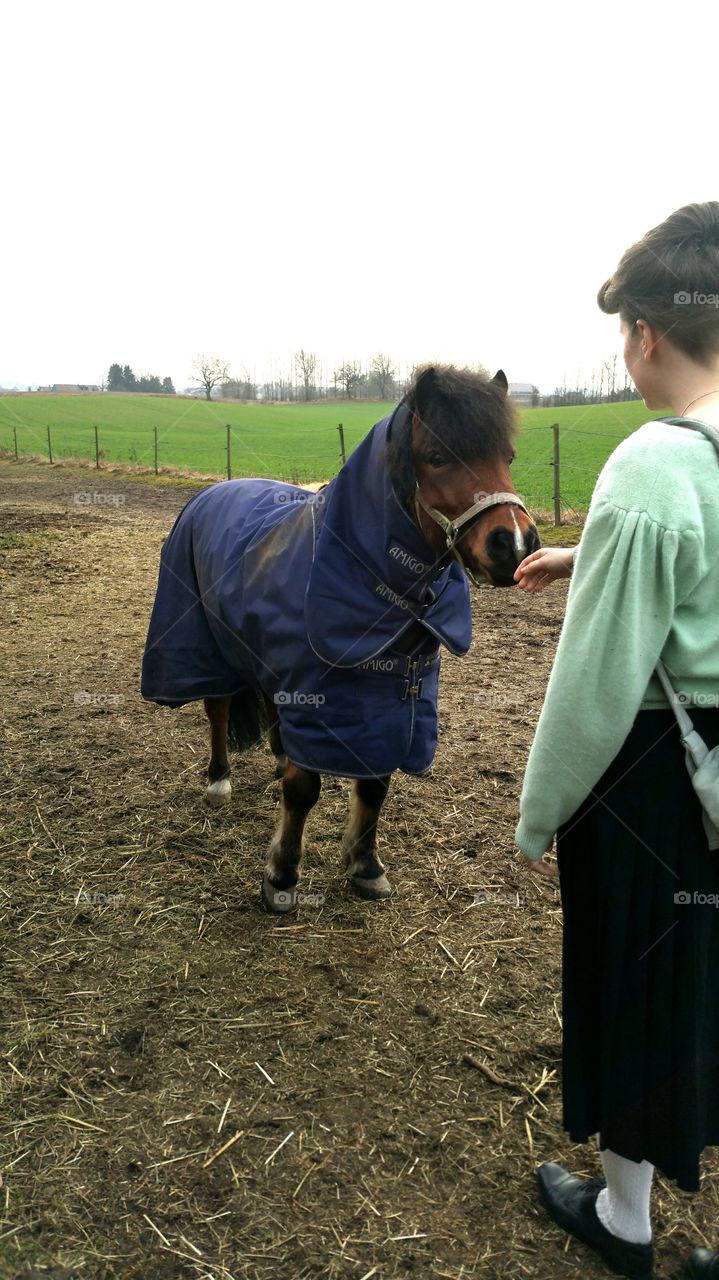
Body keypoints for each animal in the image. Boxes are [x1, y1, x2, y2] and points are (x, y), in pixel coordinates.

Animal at [141, 364, 539, 912]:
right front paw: (282, 875)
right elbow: (304, 790)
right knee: (217, 706)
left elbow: (374, 786)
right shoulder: (317, 691)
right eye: (437, 458)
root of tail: (213, 492)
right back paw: (219, 779)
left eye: (509, 457)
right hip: (208, 643)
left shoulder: (392, 704)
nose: (515, 543)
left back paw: (278, 754)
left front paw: (365, 866)